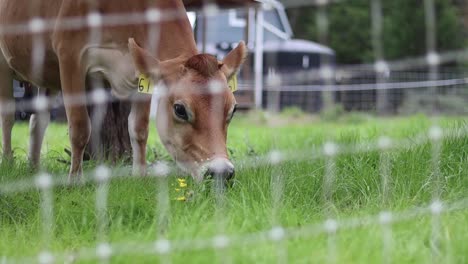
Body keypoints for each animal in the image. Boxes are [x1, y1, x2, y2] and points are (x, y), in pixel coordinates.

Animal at [0, 0, 247, 183]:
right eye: (180, 109)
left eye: (233, 110)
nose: (222, 173)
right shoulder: (69, 55)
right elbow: (79, 128)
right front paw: (75, 180)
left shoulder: (140, 73)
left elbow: (139, 129)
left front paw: (140, 175)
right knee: (8, 115)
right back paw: (9, 161)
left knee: (38, 120)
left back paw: (34, 167)